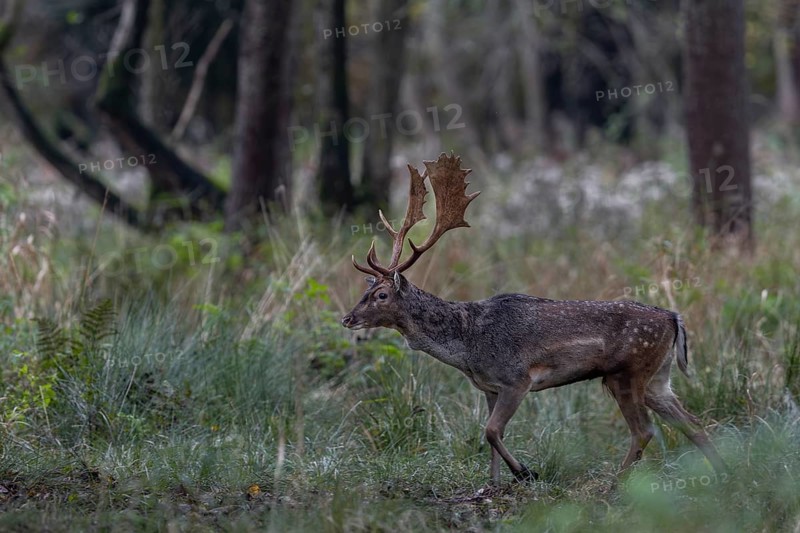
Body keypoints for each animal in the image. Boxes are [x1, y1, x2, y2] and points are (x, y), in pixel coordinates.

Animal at [341, 152, 727, 485]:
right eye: (365, 290)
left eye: (381, 295)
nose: (347, 318)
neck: (467, 344)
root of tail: (674, 317)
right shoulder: (489, 387)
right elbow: (489, 438)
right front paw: (493, 484)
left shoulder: (517, 378)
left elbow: (491, 431)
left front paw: (526, 472)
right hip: (658, 378)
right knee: (693, 424)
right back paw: (725, 476)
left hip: (627, 372)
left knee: (645, 430)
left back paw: (615, 486)